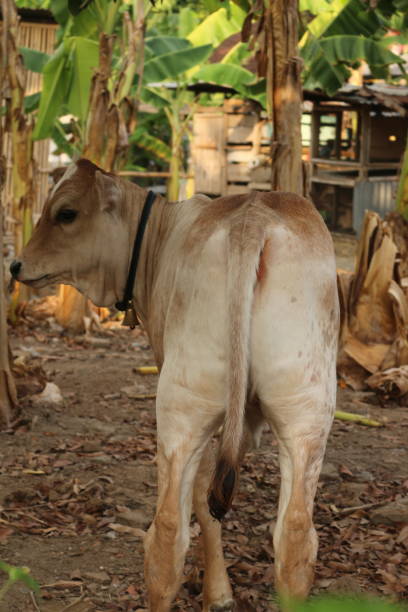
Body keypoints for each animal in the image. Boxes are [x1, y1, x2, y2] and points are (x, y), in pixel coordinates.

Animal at [11, 160, 340, 608]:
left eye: (66, 213)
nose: (16, 265)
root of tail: (251, 220)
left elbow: (200, 495)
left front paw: (217, 594)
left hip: (181, 405)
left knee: (167, 533)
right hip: (307, 408)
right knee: (295, 539)